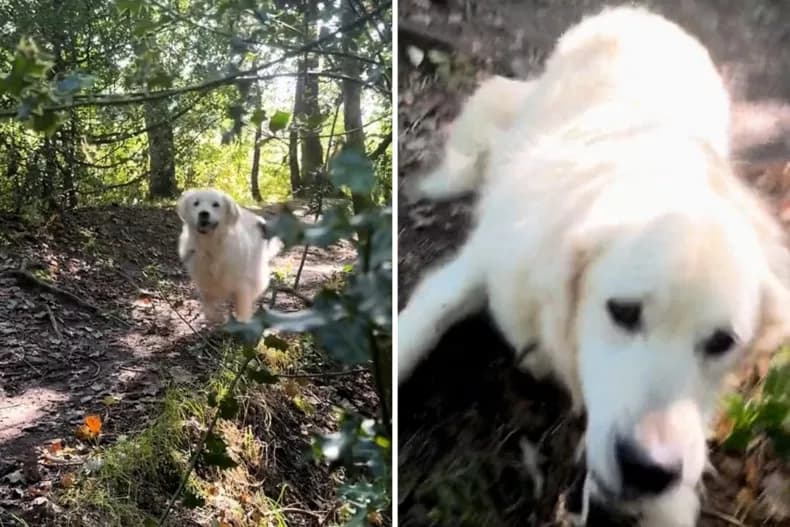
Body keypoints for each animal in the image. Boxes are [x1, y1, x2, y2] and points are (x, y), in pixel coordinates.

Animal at [177, 188, 284, 324]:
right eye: (196, 203)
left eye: (216, 204)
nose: (203, 213)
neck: (211, 246)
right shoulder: (204, 280)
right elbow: (208, 307)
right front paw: (217, 317)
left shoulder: (241, 283)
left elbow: (242, 306)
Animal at [402, 5, 790, 527]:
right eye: (622, 312)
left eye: (721, 342)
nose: (649, 470)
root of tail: (644, 15)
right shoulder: (488, 262)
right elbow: (420, 326)